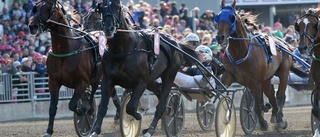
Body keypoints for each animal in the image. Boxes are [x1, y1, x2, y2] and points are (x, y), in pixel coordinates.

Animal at [27, 0, 121, 136]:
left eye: (49, 8)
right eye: (36, 8)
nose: (32, 26)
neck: (66, 49)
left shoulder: (81, 82)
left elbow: (72, 104)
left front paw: (84, 111)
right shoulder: (53, 82)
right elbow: (52, 108)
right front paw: (48, 131)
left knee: (96, 89)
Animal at [87, 0, 198, 136]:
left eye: (117, 7)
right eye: (102, 9)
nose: (109, 29)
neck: (123, 50)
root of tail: (175, 42)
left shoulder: (141, 82)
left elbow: (131, 107)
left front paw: (138, 115)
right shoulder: (108, 80)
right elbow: (103, 107)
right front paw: (95, 131)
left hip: (169, 74)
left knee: (161, 105)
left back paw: (151, 129)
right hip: (152, 81)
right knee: (161, 95)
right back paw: (169, 111)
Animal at [215, 0, 292, 131]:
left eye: (231, 17)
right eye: (218, 16)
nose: (220, 37)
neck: (241, 52)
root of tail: (282, 43)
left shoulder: (255, 82)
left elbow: (257, 106)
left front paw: (263, 123)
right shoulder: (229, 75)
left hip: (284, 73)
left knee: (280, 96)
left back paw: (280, 119)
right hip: (266, 79)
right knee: (271, 95)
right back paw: (274, 114)